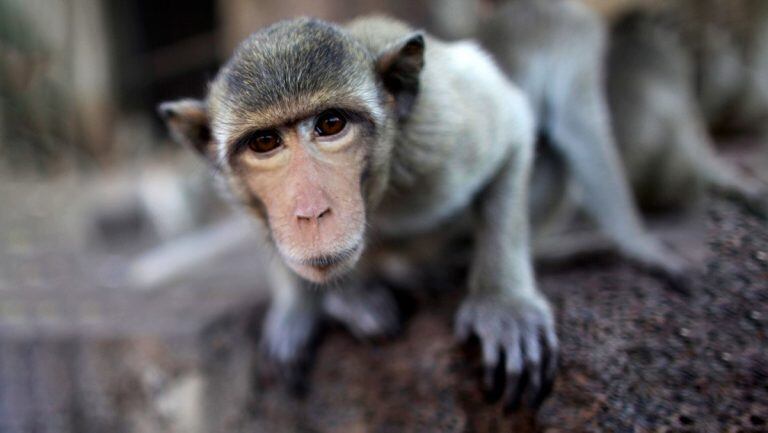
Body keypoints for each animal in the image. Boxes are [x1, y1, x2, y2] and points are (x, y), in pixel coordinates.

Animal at [160, 16, 560, 408]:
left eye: (331, 124)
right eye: (264, 142)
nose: (311, 212)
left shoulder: (440, 133)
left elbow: (513, 131)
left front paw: (503, 303)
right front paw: (297, 307)